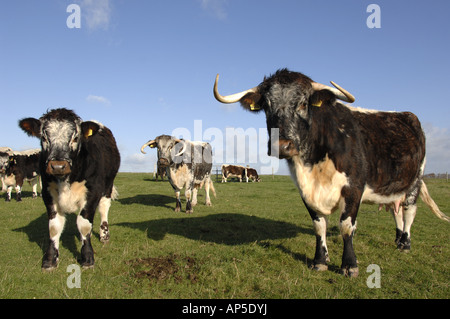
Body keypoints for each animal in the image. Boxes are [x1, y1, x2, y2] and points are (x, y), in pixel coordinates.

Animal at [19, 107, 120, 270]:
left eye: (75, 137)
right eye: (44, 137)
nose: (58, 166)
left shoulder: (93, 191)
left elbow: (84, 224)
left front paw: (87, 257)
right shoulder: (48, 193)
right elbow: (54, 227)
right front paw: (50, 260)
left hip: (108, 185)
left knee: (104, 208)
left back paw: (104, 235)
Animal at [213, 69, 448, 278]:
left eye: (303, 103)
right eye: (266, 106)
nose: (282, 145)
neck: (314, 164)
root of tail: (406, 115)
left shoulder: (354, 189)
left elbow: (346, 227)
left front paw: (349, 265)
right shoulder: (305, 191)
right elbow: (319, 227)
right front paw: (320, 260)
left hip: (414, 182)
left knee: (409, 212)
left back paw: (405, 244)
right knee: (396, 212)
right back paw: (398, 240)